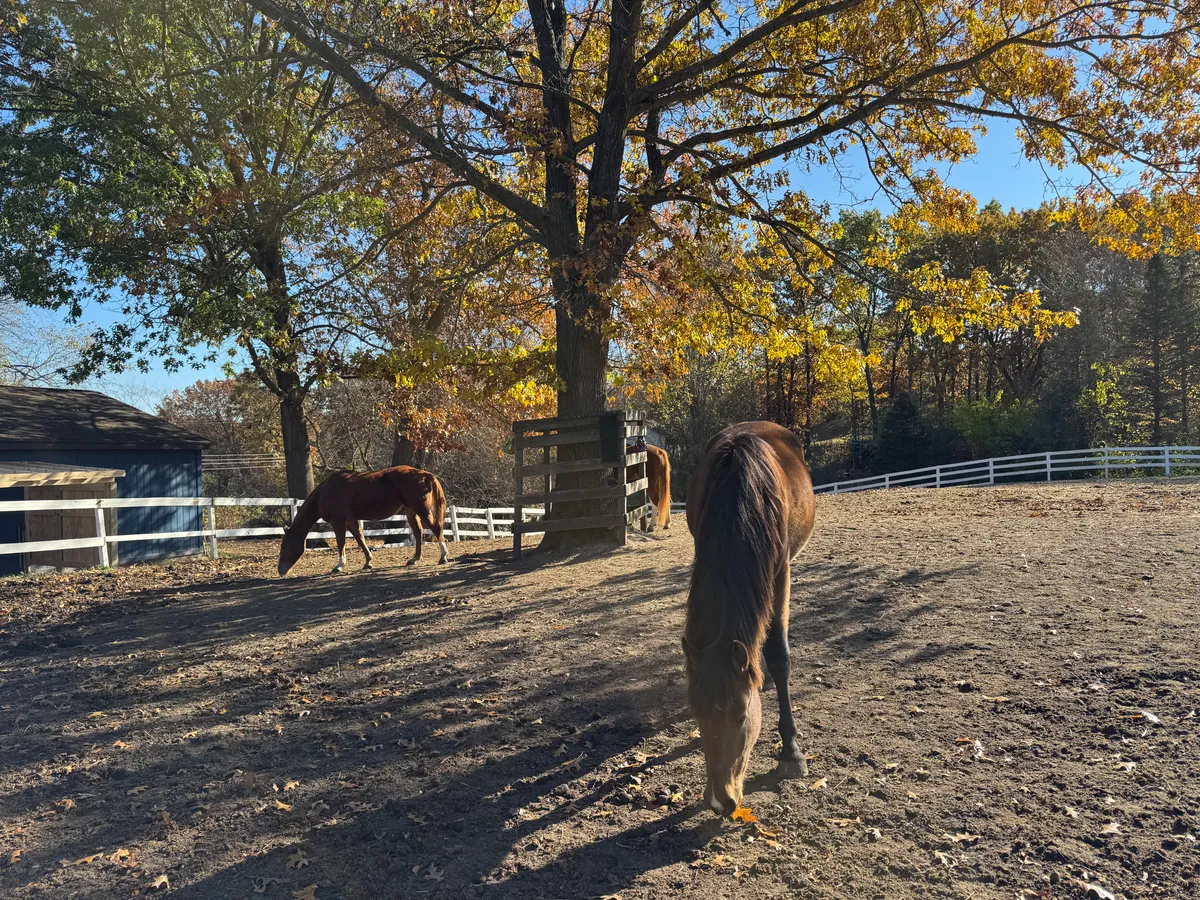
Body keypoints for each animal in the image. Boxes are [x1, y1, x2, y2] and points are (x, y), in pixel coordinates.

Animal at [277, 466, 449, 576]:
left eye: (284, 546)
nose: (280, 571)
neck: (325, 493)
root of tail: (424, 474)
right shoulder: (351, 522)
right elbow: (361, 540)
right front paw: (368, 563)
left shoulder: (338, 522)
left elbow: (341, 543)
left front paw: (339, 566)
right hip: (411, 511)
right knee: (418, 532)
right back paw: (414, 559)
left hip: (421, 510)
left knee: (436, 528)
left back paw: (443, 557)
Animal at [682, 421, 815, 816]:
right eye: (696, 714)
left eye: (741, 715)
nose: (719, 800)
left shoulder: (781, 572)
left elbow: (779, 654)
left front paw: (791, 752)